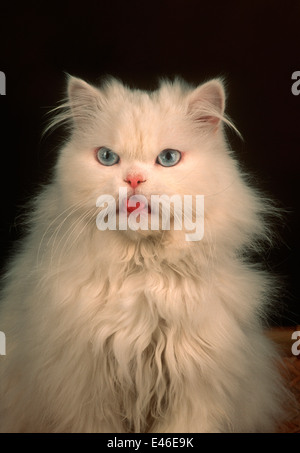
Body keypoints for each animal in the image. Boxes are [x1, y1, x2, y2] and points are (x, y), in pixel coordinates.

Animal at [0, 74, 288, 430]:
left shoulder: (195, 390)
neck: (141, 274)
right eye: (107, 157)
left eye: (168, 158)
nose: (134, 179)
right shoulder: (87, 393)